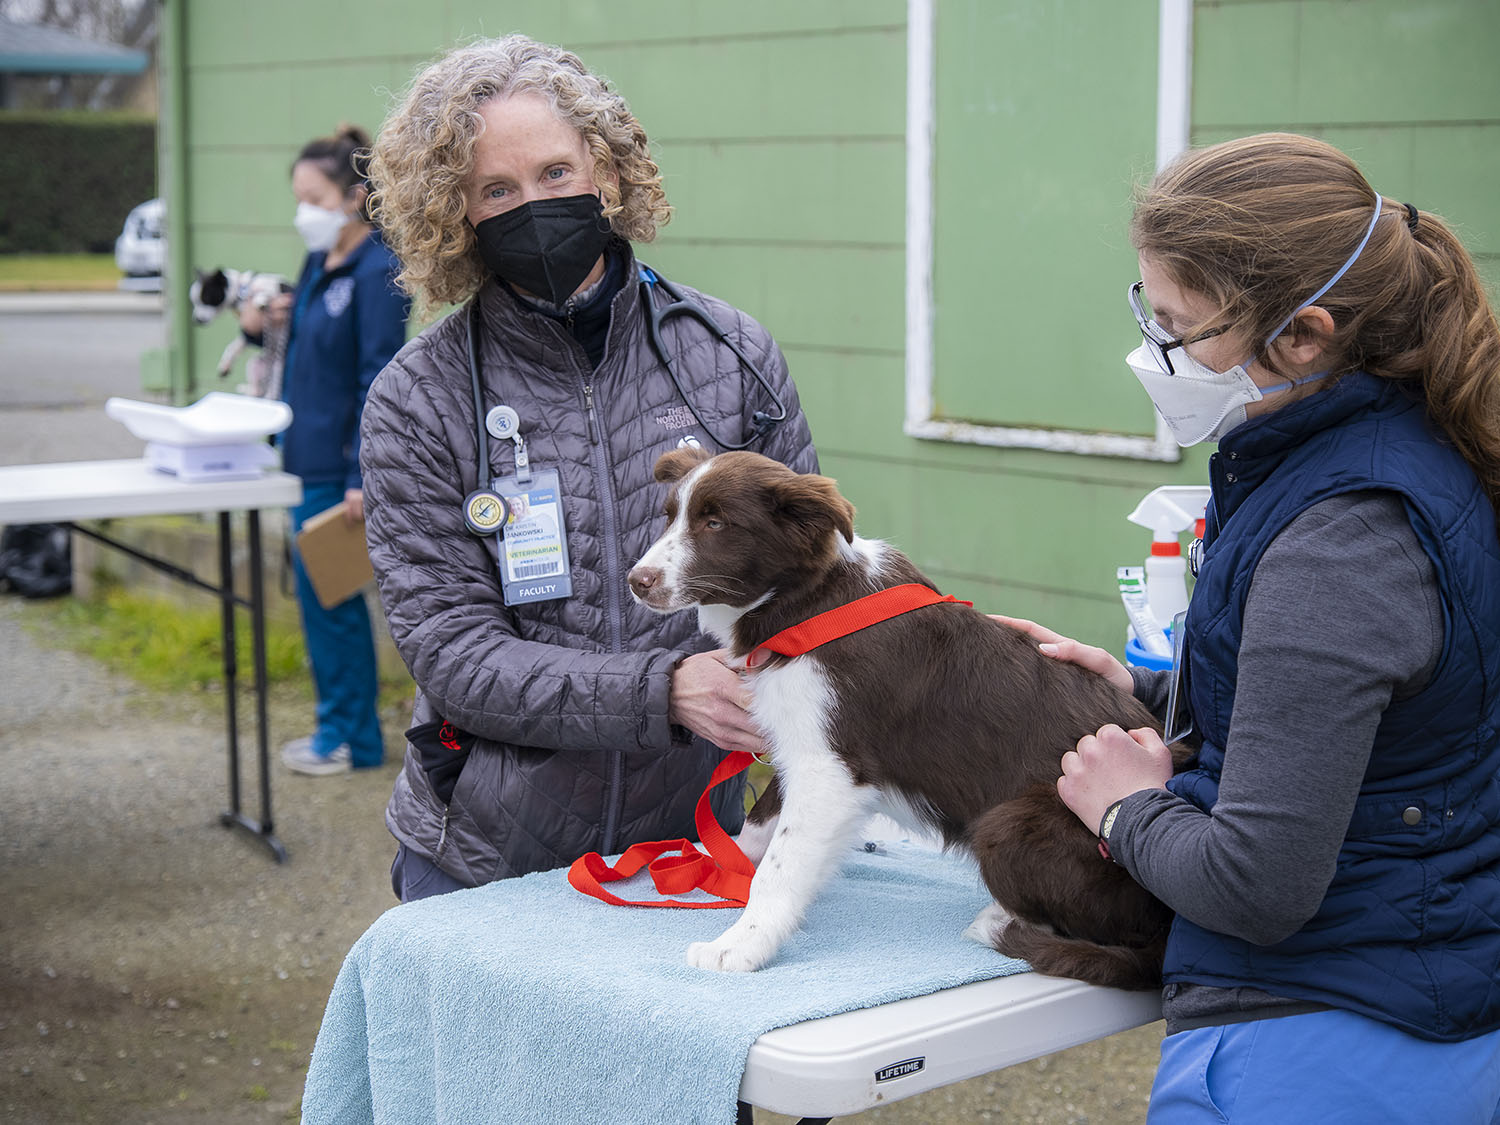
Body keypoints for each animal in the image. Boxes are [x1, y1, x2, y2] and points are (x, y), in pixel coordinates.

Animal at [627, 450, 1188, 996]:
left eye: (716, 523)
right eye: (669, 516)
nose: (637, 581)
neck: (807, 604)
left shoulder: (832, 768)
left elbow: (780, 867)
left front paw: (740, 946)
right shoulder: (804, 741)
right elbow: (760, 828)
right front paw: (723, 871)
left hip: (1010, 824)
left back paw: (1001, 921)